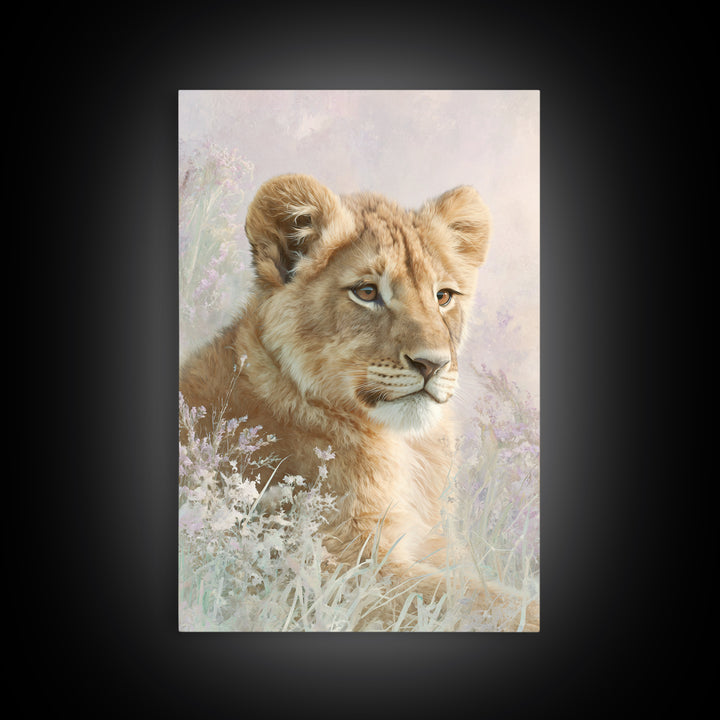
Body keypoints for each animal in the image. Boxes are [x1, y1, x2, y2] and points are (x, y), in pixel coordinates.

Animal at [180, 173, 538, 631]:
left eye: (443, 297)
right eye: (367, 292)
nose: (433, 363)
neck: (406, 446)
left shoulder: (435, 543)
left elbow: (478, 585)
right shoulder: (335, 568)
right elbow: (480, 601)